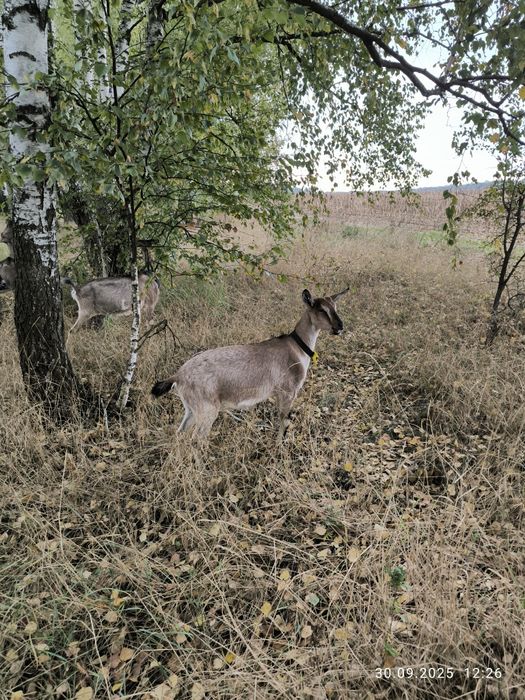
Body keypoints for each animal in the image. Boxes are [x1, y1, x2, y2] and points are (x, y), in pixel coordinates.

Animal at [151, 287, 348, 440]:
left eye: (335, 306)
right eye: (321, 310)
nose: (340, 326)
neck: (297, 347)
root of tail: (178, 376)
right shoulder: (288, 391)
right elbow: (284, 420)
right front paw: (279, 446)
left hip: (191, 409)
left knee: (180, 432)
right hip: (207, 410)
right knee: (196, 439)